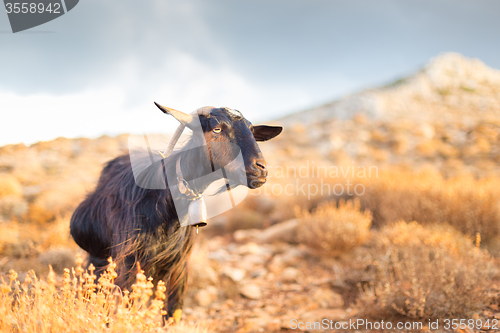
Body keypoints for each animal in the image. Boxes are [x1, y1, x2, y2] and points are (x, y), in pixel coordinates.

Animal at [68, 103, 284, 320]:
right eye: (217, 129)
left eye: (252, 131)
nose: (260, 169)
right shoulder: (127, 264)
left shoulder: (178, 267)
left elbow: (172, 313)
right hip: (98, 260)